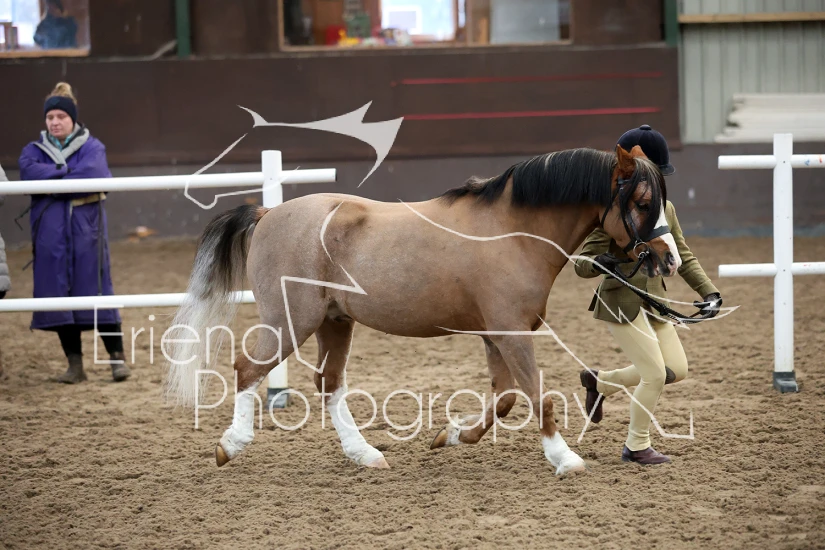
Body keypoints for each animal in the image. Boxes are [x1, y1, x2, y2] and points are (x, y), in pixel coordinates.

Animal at [163, 144, 680, 476]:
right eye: (641, 201)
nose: (669, 259)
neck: (512, 232)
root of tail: (269, 214)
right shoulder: (512, 332)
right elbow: (538, 395)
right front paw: (564, 459)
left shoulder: (496, 334)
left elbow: (506, 398)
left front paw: (452, 436)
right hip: (291, 320)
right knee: (248, 368)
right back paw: (231, 446)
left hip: (335, 322)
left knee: (328, 384)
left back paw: (365, 455)